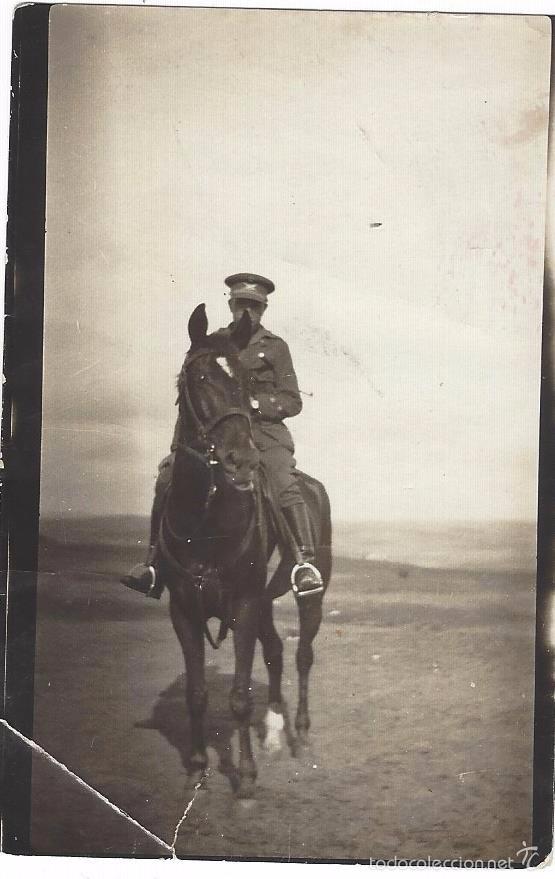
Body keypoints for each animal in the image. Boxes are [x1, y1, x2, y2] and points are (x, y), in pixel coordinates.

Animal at [158, 304, 332, 799]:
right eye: (198, 378)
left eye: (244, 384)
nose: (243, 459)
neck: (205, 522)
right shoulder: (185, 609)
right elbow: (198, 694)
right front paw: (197, 768)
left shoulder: (244, 604)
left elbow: (237, 697)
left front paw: (247, 779)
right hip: (264, 603)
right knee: (274, 652)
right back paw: (273, 732)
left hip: (306, 597)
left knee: (301, 655)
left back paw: (300, 733)